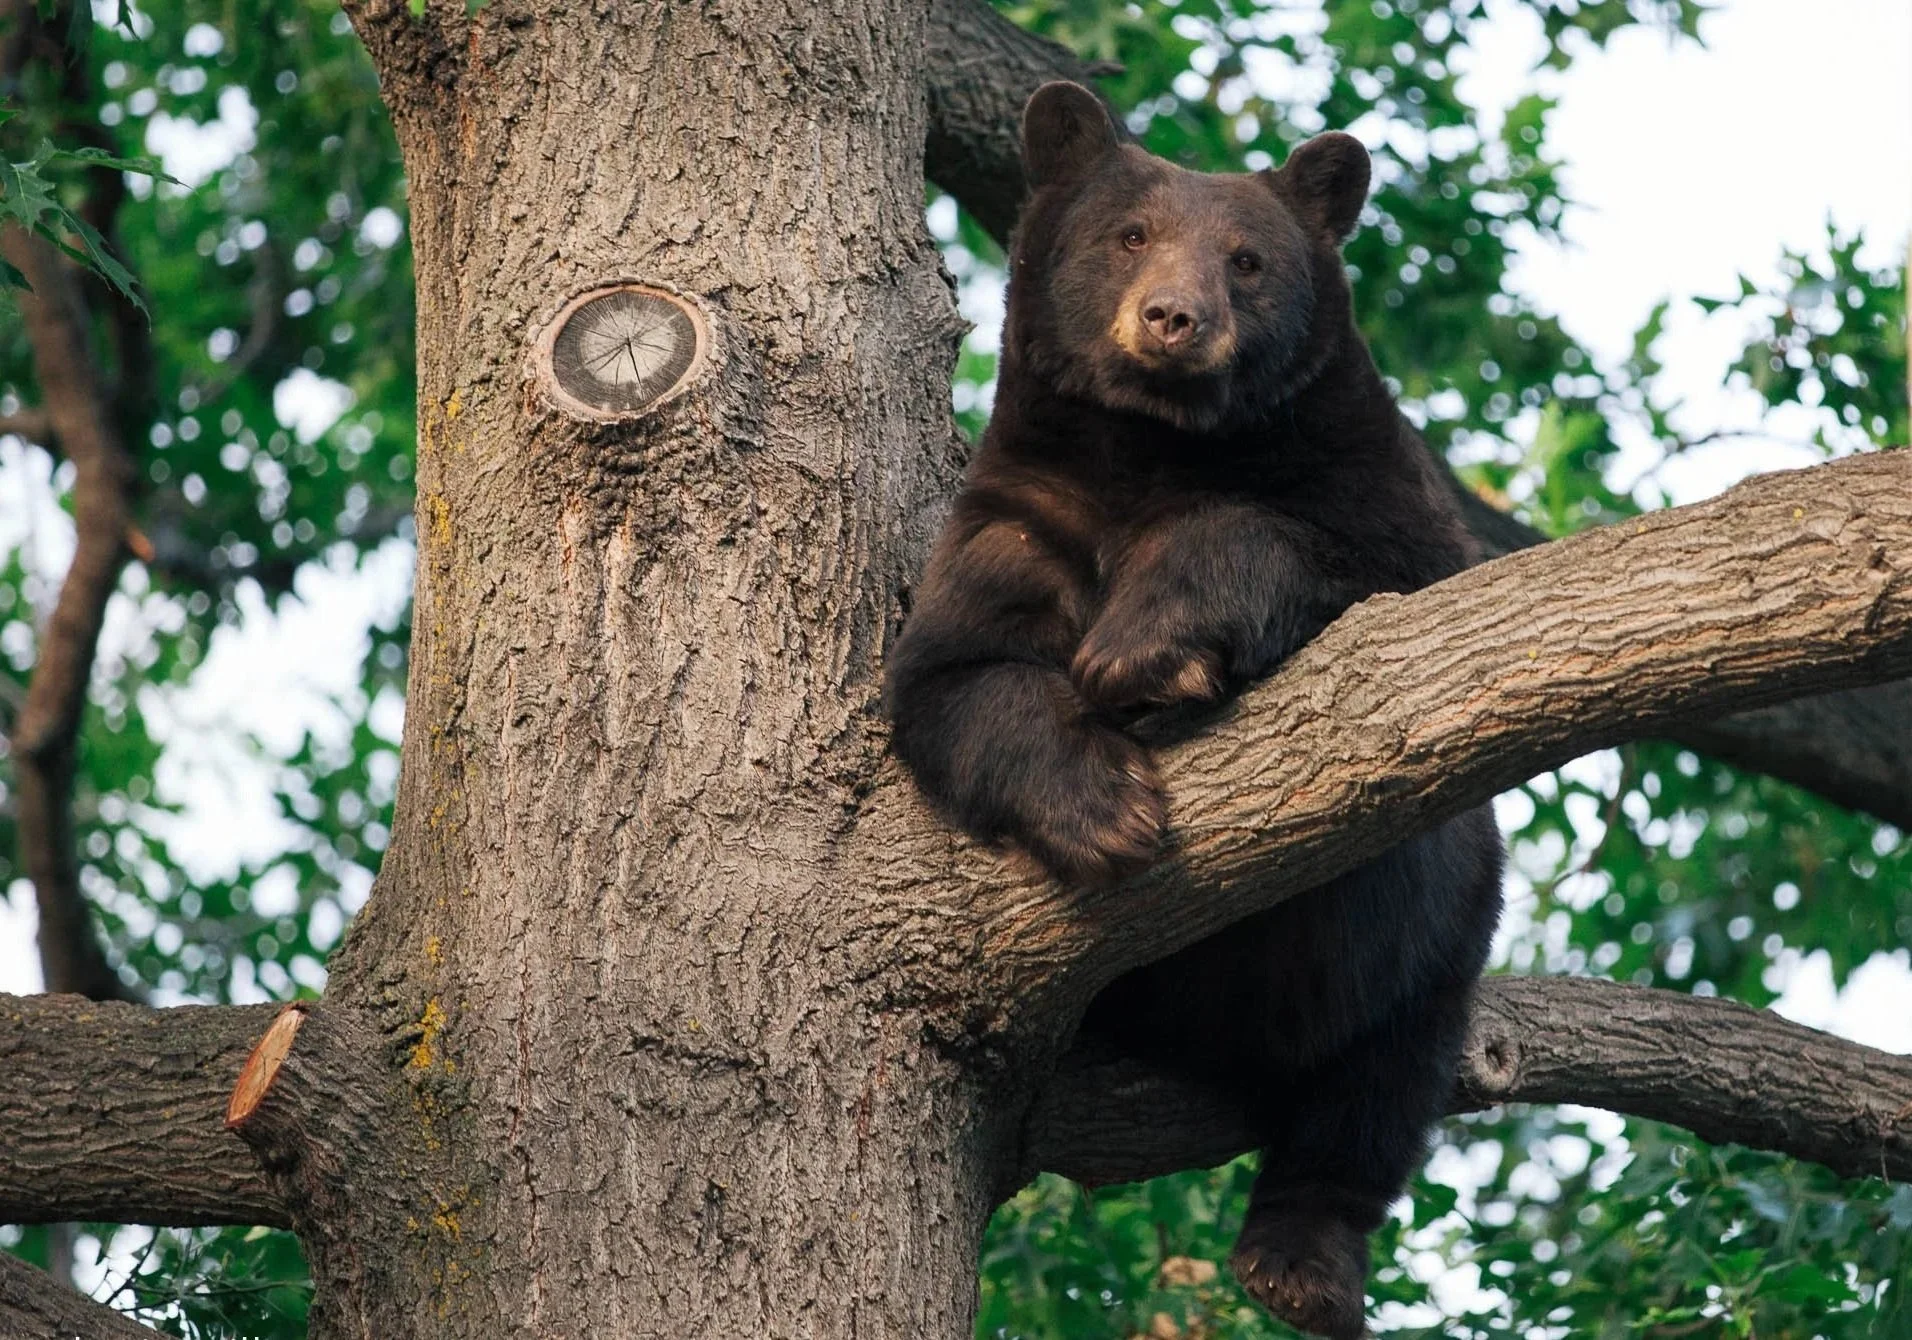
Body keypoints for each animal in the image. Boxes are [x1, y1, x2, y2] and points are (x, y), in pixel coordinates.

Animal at [883, 81, 1505, 1339]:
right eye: (1128, 236)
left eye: (1248, 260)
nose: (1173, 317)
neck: (1149, 446)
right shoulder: (1020, 511)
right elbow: (958, 675)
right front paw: (1106, 804)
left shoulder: (1367, 488)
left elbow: (1341, 564)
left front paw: (1144, 650)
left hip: (1437, 930)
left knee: (1380, 1079)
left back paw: (1299, 1262)